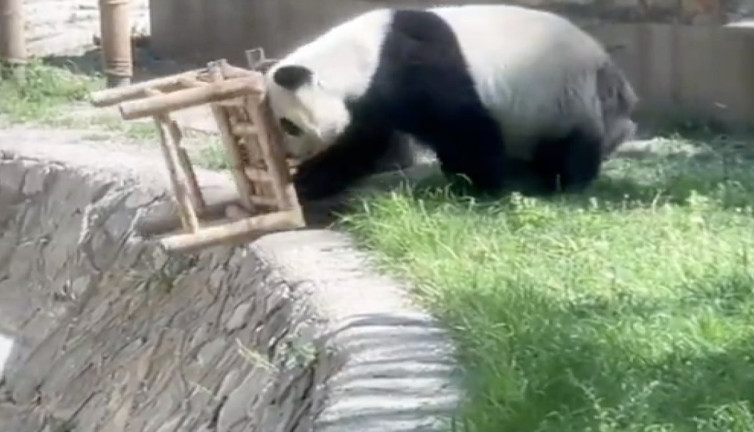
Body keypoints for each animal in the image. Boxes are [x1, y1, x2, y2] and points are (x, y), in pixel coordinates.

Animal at [263, 4, 638, 201]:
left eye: (288, 125)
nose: (289, 154)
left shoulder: (416, 67)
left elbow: (464, 128)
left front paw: (480, 186)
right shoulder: (370, 98)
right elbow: (363, 144)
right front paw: (306, 183)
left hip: (566, 98)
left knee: (572, 146)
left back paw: (559, 183)